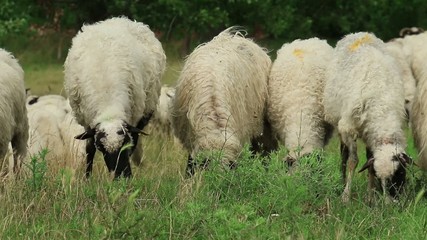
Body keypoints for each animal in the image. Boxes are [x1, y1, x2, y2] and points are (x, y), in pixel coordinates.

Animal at [64, 16, 166, 178]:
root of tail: (119, 19)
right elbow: (89, 150)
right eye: (101, 148)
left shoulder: (133, 118)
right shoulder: (87, 122)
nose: (121, 177)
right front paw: (87, 178)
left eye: (125, 143)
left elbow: (133, 142)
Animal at [326, 31, 412, 202]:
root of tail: (360, 34)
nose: (391, 203)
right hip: (340, 126)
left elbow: (369, 160)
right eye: (381, 178)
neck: (382, 110)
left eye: (400, 172)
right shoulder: (349, 129)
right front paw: (346, 196)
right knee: (344, 156)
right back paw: (341, 183)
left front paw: (371, 196)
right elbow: (353, 161)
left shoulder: (371, 132)